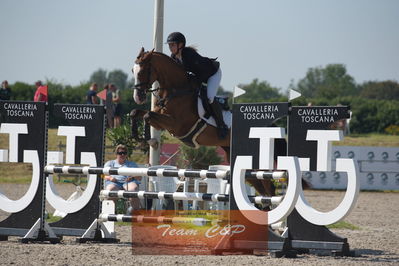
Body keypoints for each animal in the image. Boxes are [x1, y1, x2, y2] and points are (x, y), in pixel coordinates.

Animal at [131, 47, 278, 196]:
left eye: (142, 71)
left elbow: (147, 115)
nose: (138, 97)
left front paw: (148, 139)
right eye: (133, 70)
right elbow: (136, 113)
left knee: (268, 186)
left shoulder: (175, 125)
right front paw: (139, 137)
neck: (175, 91)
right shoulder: (160, 120)